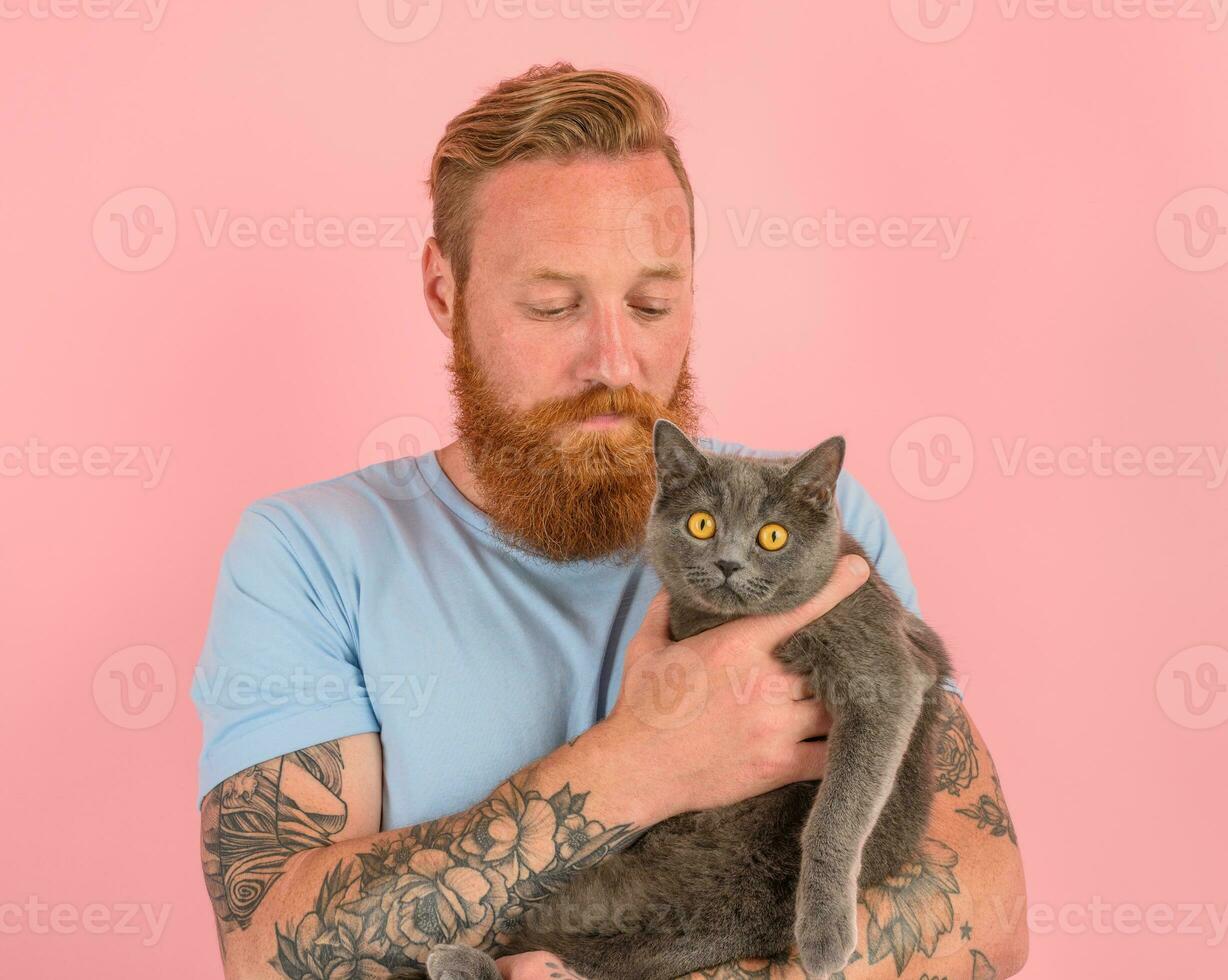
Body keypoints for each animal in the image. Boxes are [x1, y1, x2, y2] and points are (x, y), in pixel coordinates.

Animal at [427, 422, 952, 980]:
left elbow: (839, 811)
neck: (723, 623)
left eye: (773, 535)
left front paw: (824, 934)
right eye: (702, 525)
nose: (728, 563)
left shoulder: (882, 666)